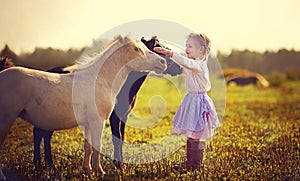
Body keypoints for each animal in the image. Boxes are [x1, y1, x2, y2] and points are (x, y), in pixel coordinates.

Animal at [0, 35, 166, 180]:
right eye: (137, 49)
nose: (163, 62)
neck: (100, 80)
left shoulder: (87, 123)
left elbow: (88, 147)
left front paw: (87, 170)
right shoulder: (98, 121)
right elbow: (97, 146)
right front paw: (100, 171)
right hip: (6, 120)